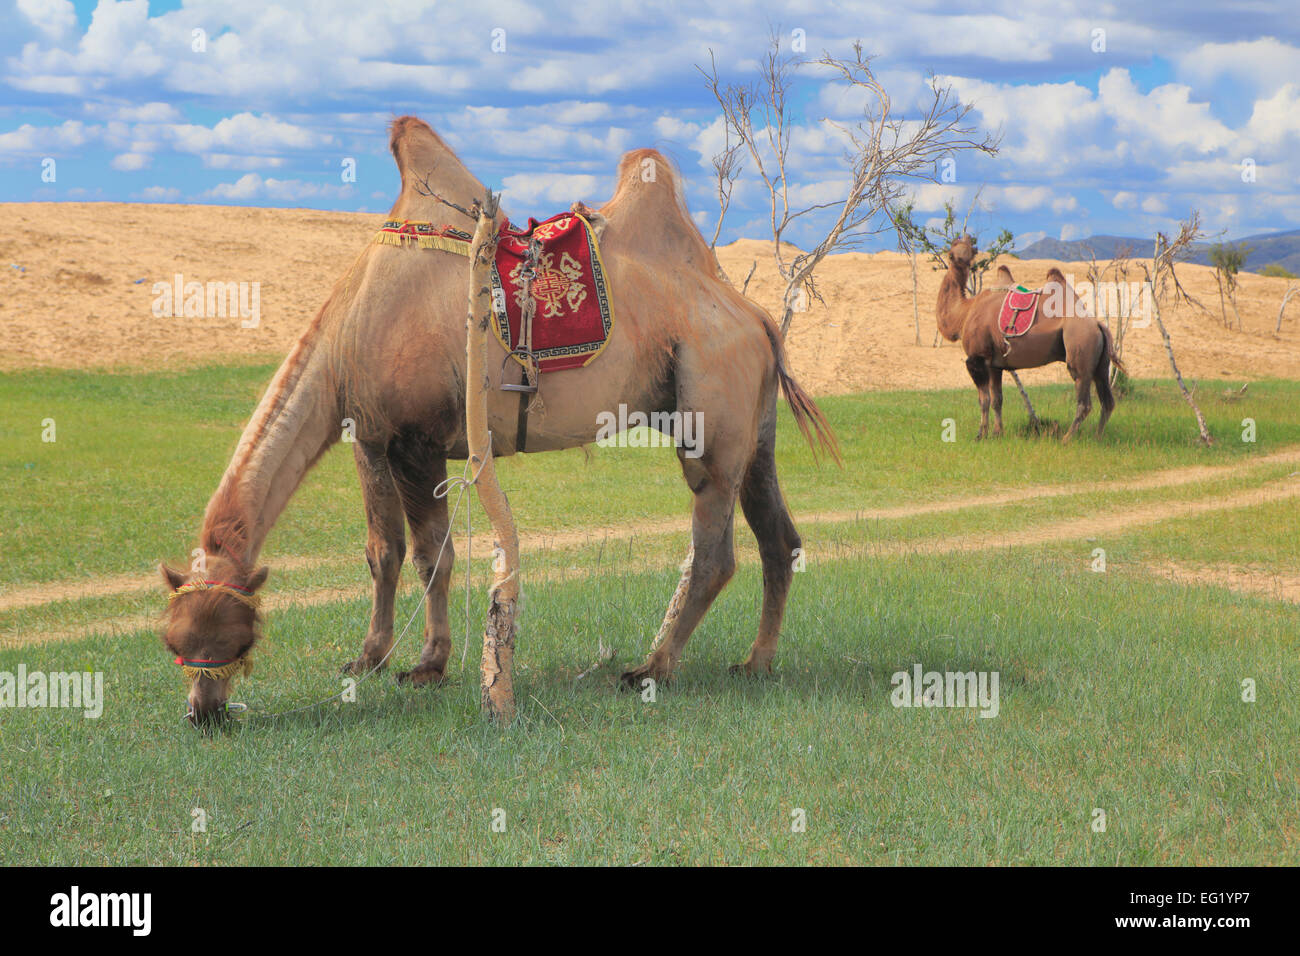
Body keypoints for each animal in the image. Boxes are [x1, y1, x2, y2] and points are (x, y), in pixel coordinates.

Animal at [157, 113, 837, 723]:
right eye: (171, 641)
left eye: (231, 636)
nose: (202, 712)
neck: (346, 334)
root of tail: (757, 318)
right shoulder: (369, 438)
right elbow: (387, 550)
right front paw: (379, 659)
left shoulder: (415, 440)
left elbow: (427, 553)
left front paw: (419, 664)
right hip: (753, 430)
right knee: (778, 539)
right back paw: (755, 662)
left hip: (711, 417)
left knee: (714, 550)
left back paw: (651, 667)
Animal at [935, 234, 1128, 442]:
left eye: (959, 253)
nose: (960, 261)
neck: (964, 313)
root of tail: (1098, 325)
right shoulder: (995, 364)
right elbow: (997, 400)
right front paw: (997, 433)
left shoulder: (977, 358)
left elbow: (984, 400)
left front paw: (980, 435)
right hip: (1100, 363)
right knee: (1107, 401)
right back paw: (1097, 437)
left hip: (1080, 347)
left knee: (1084, 402)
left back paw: (1066, 439)